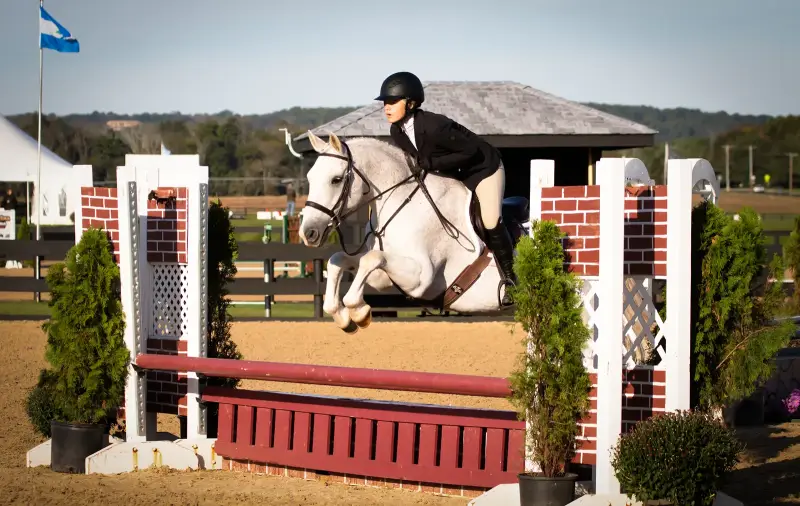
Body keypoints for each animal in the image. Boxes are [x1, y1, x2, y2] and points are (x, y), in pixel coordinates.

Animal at [298, 131, 529, 333]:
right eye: (309, 177)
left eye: (336, 179)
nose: (308, 233)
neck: (403, 202)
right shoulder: (386, 276)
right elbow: (340, 260)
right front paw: (343, 316)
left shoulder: (421, 278)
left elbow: (370, 260)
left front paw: (359, 312)